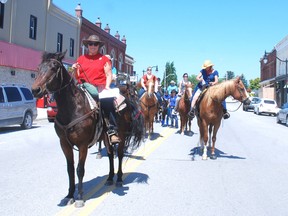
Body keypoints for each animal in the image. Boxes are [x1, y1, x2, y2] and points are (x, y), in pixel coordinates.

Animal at [30, 51, 145, 208]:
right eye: (38, 67)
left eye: (54, 67)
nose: (35, 90)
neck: (71, 108)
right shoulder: (64, 144)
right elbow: (70, 169)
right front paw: (69, 195)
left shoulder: (82, 145)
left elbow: (80, 169)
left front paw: (79, 197)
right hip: (106, 137)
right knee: (110, 155)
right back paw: (110, 177)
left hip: (121, 135)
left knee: (120, 155)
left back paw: (119, 179)